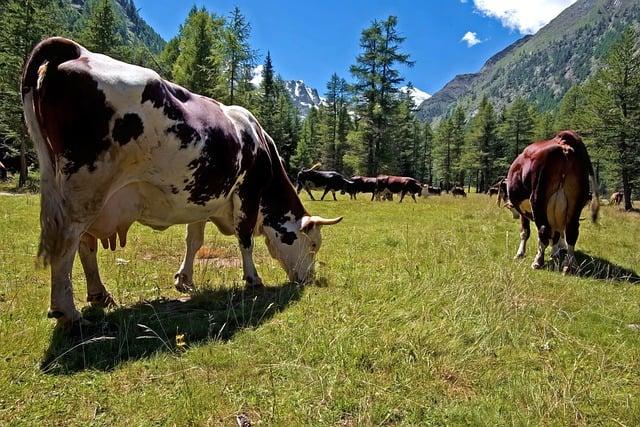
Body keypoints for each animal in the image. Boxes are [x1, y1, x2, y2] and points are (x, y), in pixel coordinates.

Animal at [21, 39, 344, 328]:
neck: (259, 143)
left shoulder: (202, 198)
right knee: (67, 243)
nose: (309, 279)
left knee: (85, 244)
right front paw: (253, 279)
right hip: (84, 189)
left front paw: (184, 279)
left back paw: (99, 295)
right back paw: (68, 312)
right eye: (313, 244)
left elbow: (194, 240)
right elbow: (245, 239)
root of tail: (79, 51)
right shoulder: (247, 193)